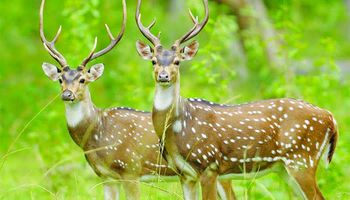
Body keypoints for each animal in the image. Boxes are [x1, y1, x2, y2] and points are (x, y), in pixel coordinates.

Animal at [135, 0, 338, 198]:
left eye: (177, 61)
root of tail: (331, 118)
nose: (163, 76)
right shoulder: (184, 174)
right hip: (285, 168)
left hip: (302, 158)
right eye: (153, 61)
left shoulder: (209, 165)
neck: (176, 128)